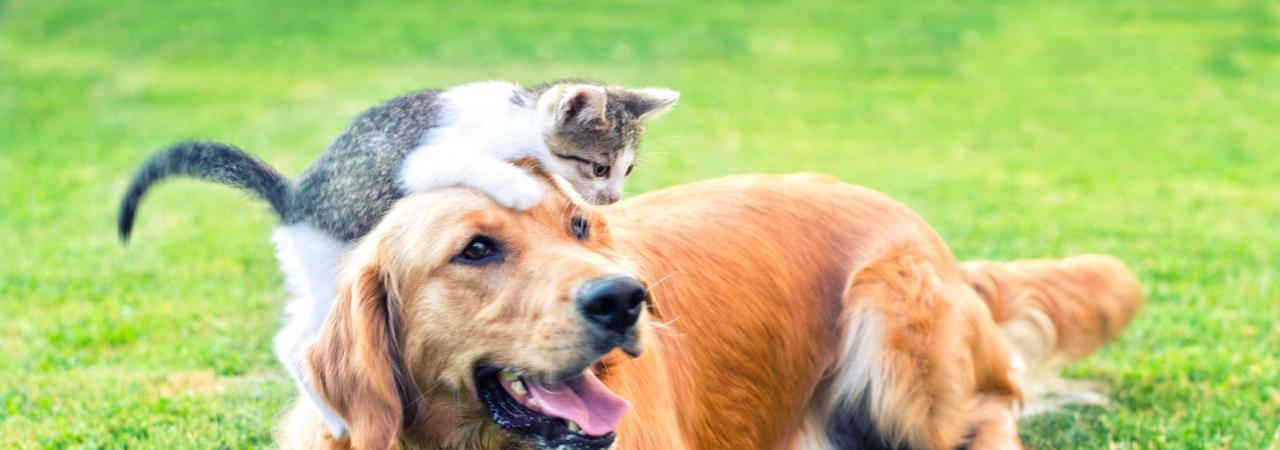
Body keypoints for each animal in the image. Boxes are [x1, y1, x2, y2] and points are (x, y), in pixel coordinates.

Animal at [117, 79, 680, 434]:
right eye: (599, 166)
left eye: (627, 170)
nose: (613, 198)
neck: (516, 119)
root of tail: (294, 195)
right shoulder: (425, 158)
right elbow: (477, 167)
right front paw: (516, 186)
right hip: (329, 265)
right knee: (297, 343)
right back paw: (333, 412)